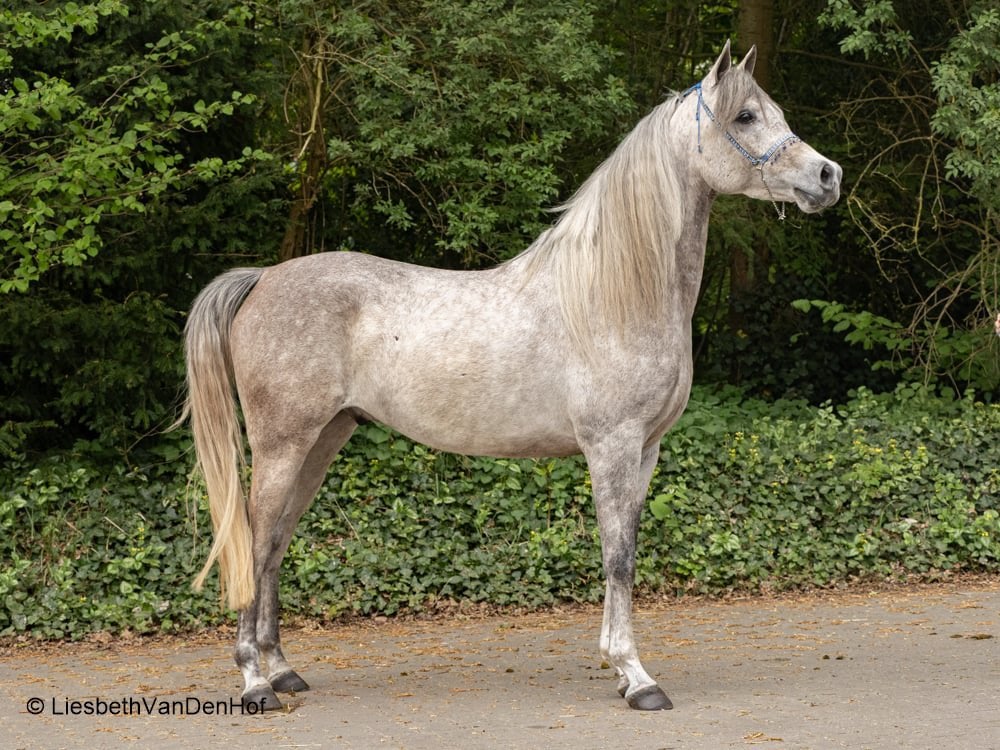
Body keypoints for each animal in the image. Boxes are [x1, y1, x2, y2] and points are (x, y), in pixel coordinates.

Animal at [179, 41, 841, 712]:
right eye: (746, 117)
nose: (827, 177)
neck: (613, 293)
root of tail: (263, 279)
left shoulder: (646, 450)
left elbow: (625, 551)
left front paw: (621, 668)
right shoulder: (612, 446)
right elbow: (618, 558)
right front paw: (635, 677)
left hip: (322, 440)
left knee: (274, 546)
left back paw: (283, 670)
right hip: (283, 444)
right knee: (255, 541)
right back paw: (255, 683)